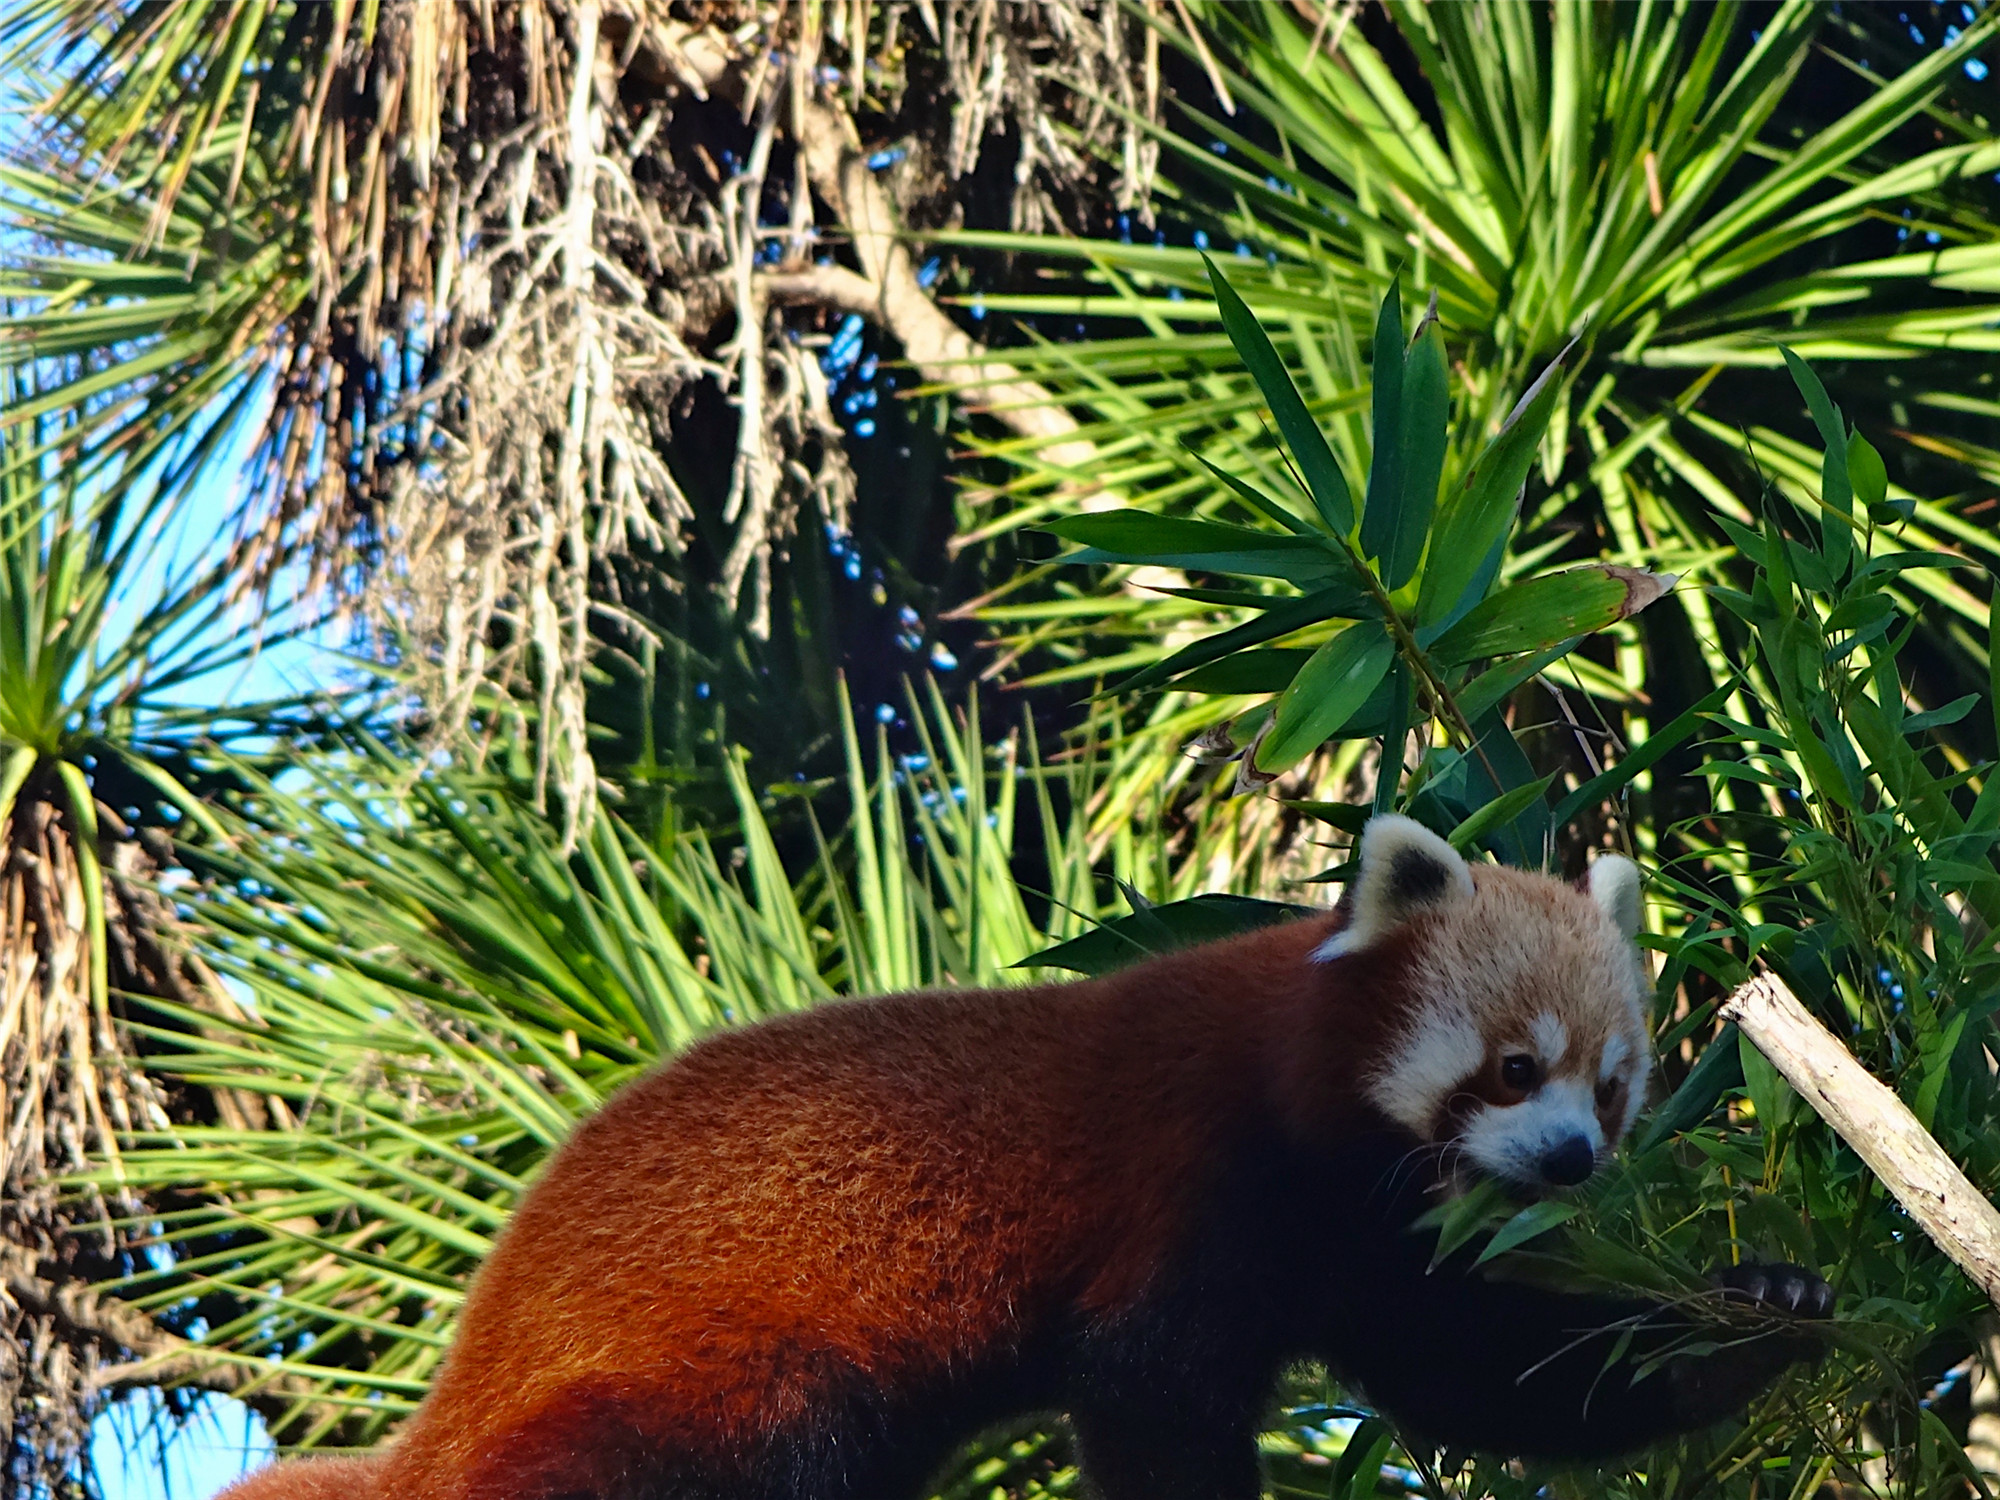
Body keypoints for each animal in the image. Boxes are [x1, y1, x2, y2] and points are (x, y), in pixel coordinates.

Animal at [215, 824, 1832, 1500]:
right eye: (1510, 1067)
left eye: (1612, 1087)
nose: (1567, 1160)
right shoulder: (1197, 1179)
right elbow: (1149, 1395)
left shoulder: (1361, 1254)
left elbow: (1498, 1377)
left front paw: (1764, 1309)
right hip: (713, 1383)